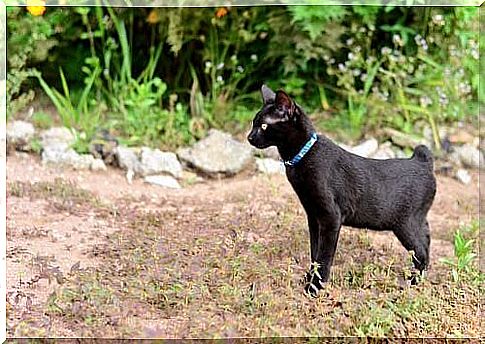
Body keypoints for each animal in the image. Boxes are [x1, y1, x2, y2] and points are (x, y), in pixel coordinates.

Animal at [248, 84, 436, 296]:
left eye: (264, 126)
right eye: (253, 123)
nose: (249, 137)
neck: (303, 156)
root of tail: (422, 161)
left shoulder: (331, 217)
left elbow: (324, 256)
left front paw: (314, 287)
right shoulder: (313, 216)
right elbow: (315, 252)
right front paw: (309, 277)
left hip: (405, 224)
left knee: (421, 252)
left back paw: (413, 282)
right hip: (417, 220)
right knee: (426, 239)